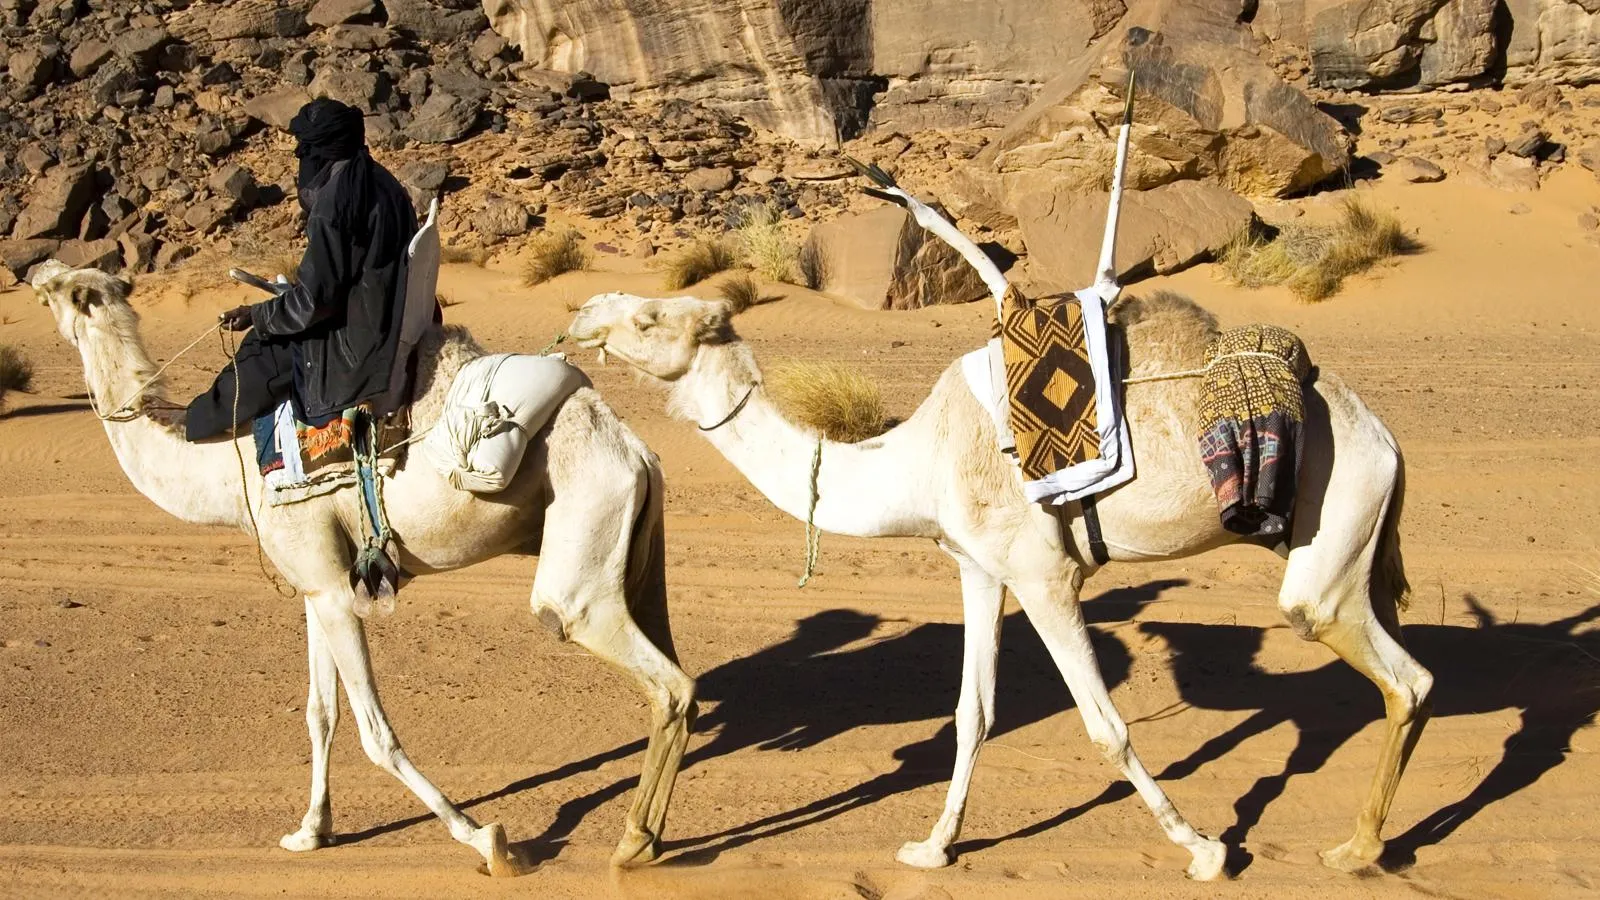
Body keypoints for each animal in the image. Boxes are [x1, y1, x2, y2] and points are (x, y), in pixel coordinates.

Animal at [32, 261, 694, 877]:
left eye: (59, 292)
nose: (36, 270)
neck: (224, 467)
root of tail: (639, 453)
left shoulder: (330, 587)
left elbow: (376, 732)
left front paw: (486, 840)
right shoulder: (317, 585)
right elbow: (320, 714)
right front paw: (309, 831)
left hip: (581, 559)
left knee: (656, 675)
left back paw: (632, 844)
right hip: (634, 555)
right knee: (671, 671)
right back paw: (647, 839)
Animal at [566, 212, 1440, 871]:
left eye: (649, 317)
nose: (580, 318)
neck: (920, 458)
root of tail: (1386, 437)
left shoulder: (1045, 575)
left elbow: (1106, 726)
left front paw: (1202, 849)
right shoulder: (979, 570)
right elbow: (973, 714)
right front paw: (931, 847)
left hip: (1333, 525)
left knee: (1399, 674)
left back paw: (1358, 850)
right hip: (1353, 547)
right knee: (1405, 670)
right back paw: (1367, 845)